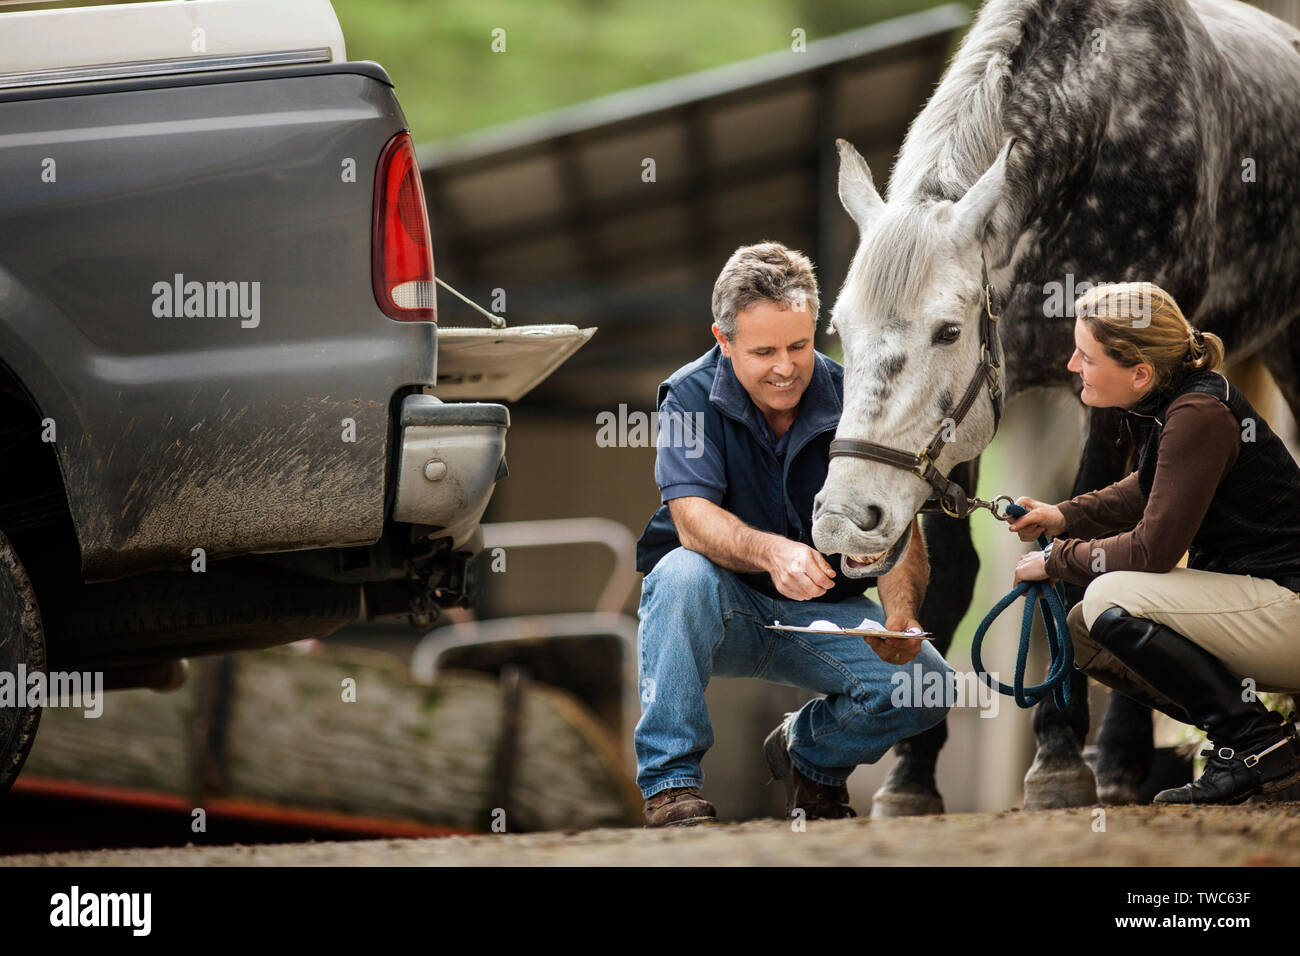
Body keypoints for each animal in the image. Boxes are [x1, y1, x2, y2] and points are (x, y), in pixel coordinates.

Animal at [811, 0, 1300, 813]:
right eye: (838, 329)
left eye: (948, 330)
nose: (846, 517)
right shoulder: (978, 414)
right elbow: (954, 574)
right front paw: (911, 777)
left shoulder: (1107, 403)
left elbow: (1081, 559)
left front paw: (1062, 761)